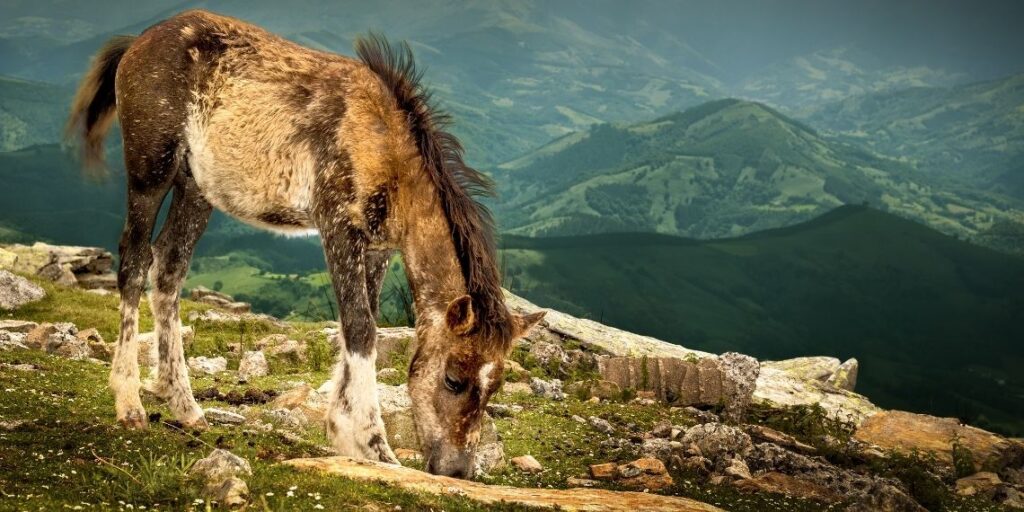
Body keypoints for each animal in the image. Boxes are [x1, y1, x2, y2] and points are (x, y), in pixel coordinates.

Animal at [65, 9, 548, 479]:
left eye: (495, 386)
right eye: (453, 379)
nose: (458, 469)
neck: (385, 148)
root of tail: (138, 42)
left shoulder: (377, 247)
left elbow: (363, 322)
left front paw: (345, 433)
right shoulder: (337, 226)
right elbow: (360, 327)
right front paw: (374, 446)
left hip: (195, 186)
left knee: (169, 268)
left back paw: (185, 406)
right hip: (151, 168)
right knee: (134, 261)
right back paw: (130, 403)